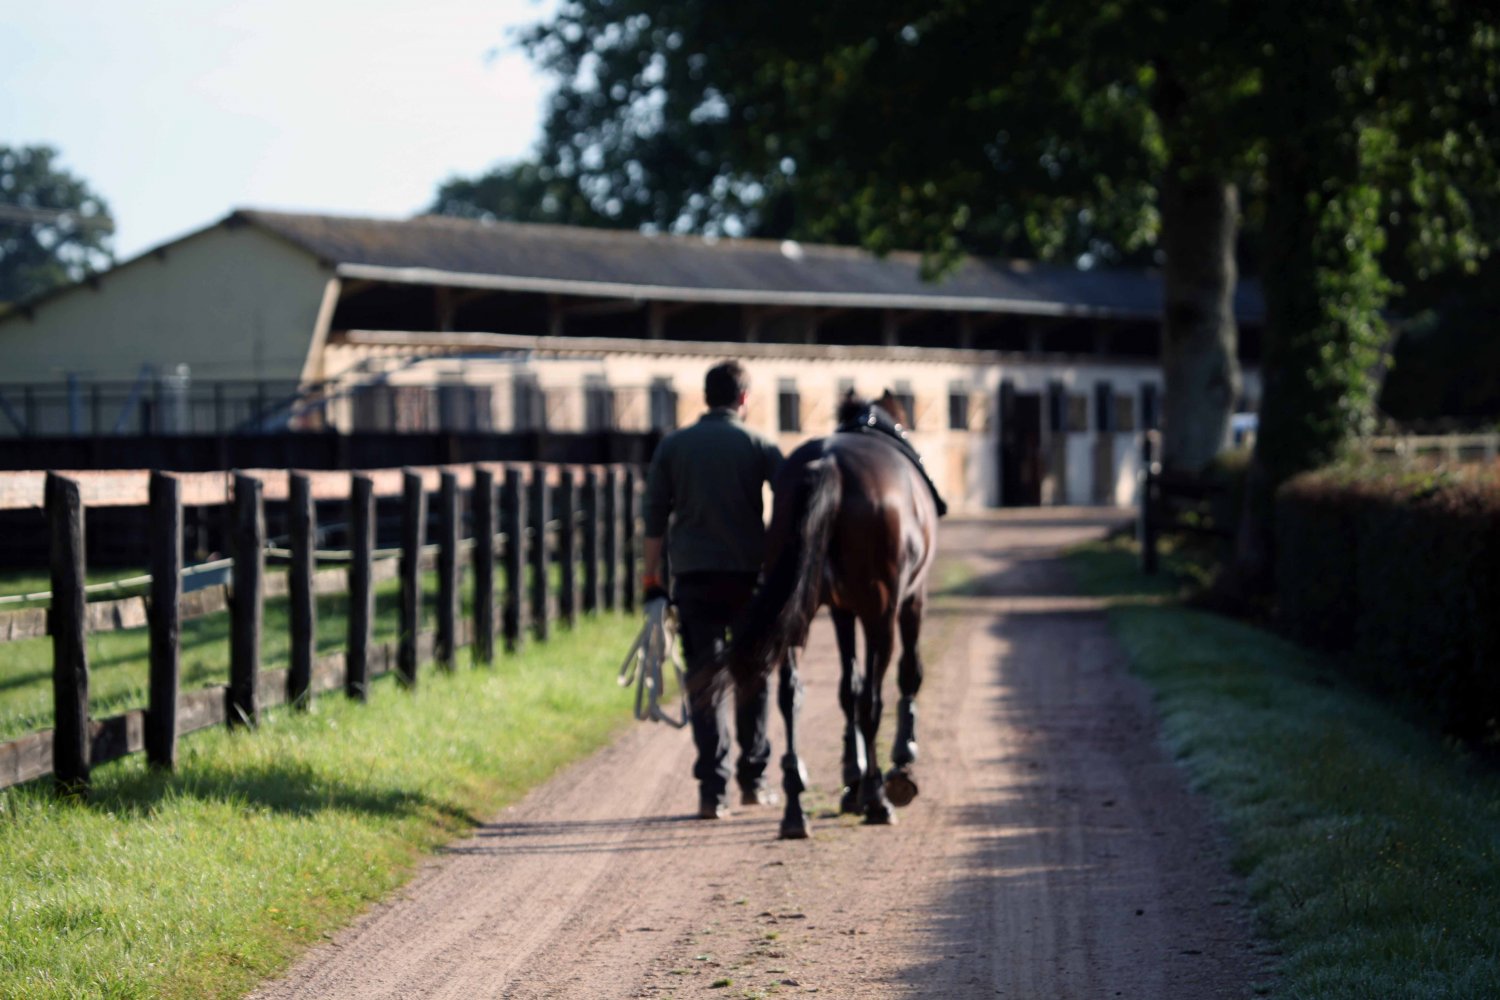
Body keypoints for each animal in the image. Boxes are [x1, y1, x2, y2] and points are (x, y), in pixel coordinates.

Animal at [728, 391, 941, 839]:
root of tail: (828, 465)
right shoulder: (912, 599)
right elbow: (905, 676)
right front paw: (899, 764)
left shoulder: (842, 611)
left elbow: (846, 689)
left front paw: (851, 780)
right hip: (880, 614)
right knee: (873, 701)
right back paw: (877, 799)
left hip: (797, 611)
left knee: (791, 695)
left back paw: (795, 809)